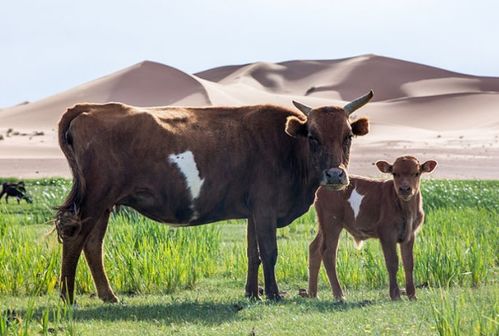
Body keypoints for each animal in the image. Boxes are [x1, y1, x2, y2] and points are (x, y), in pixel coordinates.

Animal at [56, 90, 374, 304]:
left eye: (347, 136)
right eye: (313, 137)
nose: (335, 175)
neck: (288, 147)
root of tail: (90, 107)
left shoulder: (252, 211)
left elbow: (253, 253)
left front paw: (252, 293)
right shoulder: (265, 208)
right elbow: (269, 252)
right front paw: (273, 294)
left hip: (104, 204)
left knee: (93, 245)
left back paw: (108, 295)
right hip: (94, 199)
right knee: (76, 238)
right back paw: (67, 296)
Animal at [308, 156, 438, 300]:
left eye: (416, 173)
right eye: (395, 173)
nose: (404, 189)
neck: (407, 209)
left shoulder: (410, 234)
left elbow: (409, 263)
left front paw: (412, 295)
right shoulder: (387, 233)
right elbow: (392, 262)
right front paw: (395, 295)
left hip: (323, 225)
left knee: (315, 248)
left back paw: (312, 294)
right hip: (332, 222)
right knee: (328, 253)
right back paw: (339, 295)